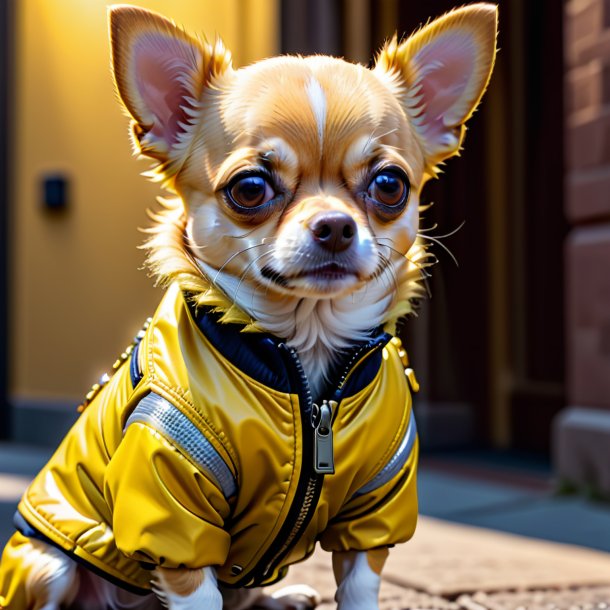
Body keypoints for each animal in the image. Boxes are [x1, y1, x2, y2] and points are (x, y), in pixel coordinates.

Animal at [0, 3, 494, 604]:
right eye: (251, 188)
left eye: (389, 184)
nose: (335, 225)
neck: (305, 358)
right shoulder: (172, 512)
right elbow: (201, 591)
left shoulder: (375, 510)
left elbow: (358, 587)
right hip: (46, 566)